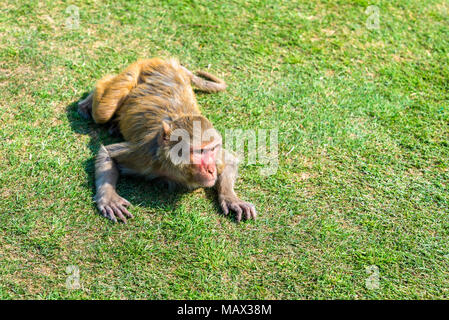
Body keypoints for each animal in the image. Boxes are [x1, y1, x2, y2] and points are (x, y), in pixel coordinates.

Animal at [77, 57, 256, 222]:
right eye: (200, 151)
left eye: (212, 149)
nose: (211, 170)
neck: (176, 170)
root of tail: (169, 62)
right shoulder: (145, 155)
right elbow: (107, 152)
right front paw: (109, 198)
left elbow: (229, 160)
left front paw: (231, 199)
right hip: (136, 69)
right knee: (103, 111)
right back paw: (90, 101)